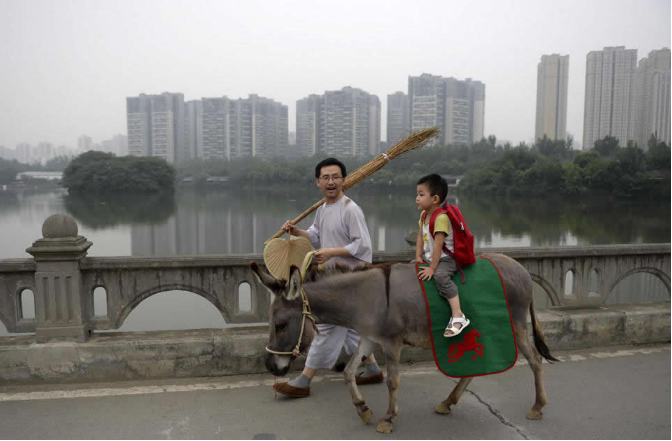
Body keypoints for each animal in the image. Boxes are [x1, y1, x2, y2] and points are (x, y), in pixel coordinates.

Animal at [250, 252, 558, 434]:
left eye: (281, 325)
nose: (271, 366)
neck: (364, 296)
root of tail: (522, 269)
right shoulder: (368, 337)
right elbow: (349, 372)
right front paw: (363, 410)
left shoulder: (391, 342)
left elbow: (392, 381)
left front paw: (387, 419)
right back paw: (448, 402)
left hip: (514, 324)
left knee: (535, 360)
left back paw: (537, 407)